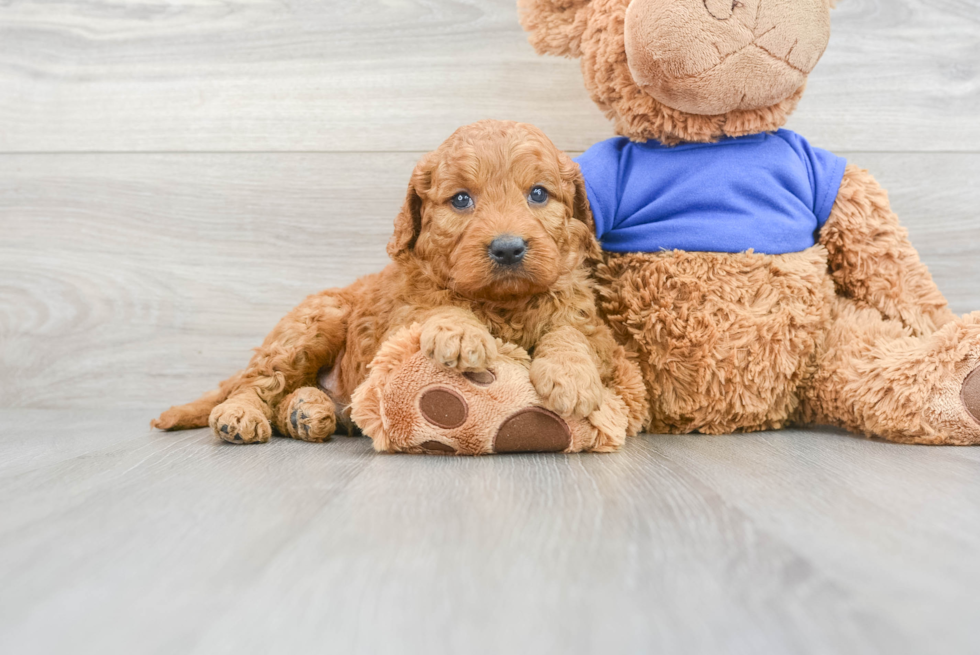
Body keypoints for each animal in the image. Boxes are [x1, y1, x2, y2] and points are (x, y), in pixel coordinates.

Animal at [153, 120, 652, 454]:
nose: (508, 248)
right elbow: (437, 307)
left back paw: (307, 413)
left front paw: (571, 375)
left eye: (538, 194)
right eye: (461, 199)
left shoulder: (588, 317)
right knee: (258, 381)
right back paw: (242, 414)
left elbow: (571, 331)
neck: (503, 304)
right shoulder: (403, 312)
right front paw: (460, 332)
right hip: (313, 323)